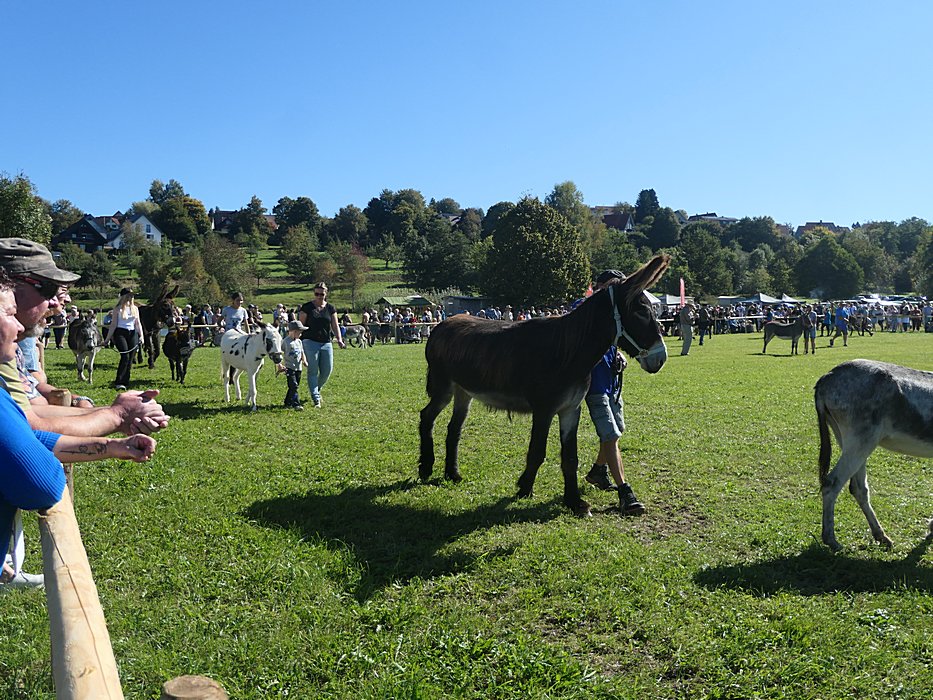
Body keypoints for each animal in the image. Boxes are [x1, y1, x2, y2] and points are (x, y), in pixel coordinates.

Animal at [418, 254, 670, 517]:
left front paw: (574, 501)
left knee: (453, 428)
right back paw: (426, 468)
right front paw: (524, 488)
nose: (661, 358)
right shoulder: (544, 410)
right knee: (426, 416)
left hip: (464, 391)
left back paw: (452, 473)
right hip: (443, 387)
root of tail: (443, 324)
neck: (568, 352)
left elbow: (570, 457)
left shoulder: (571, 410)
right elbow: (537, 451)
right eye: (641, 312)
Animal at [816, 359, 933, 551]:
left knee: (858, 488)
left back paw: (881, 536)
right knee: (832, 484)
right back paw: (832, 540)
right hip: (861, 441)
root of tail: (827, 377)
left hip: (851, 441)